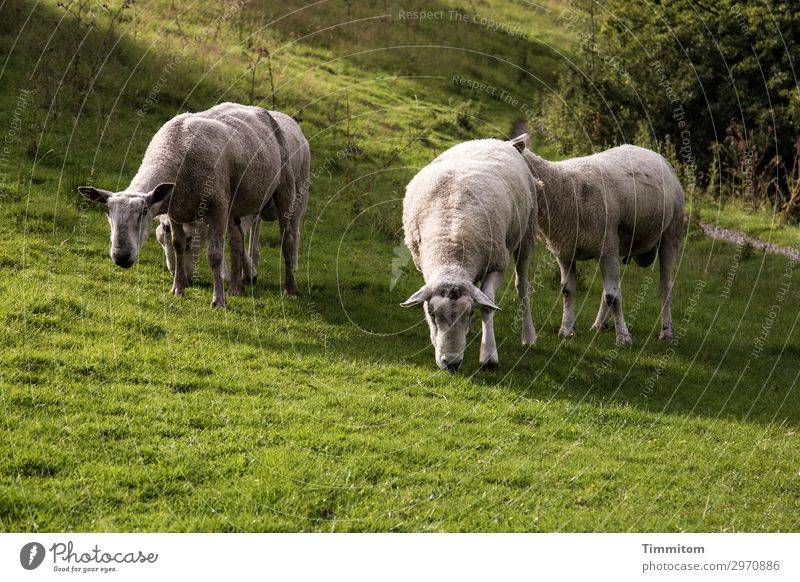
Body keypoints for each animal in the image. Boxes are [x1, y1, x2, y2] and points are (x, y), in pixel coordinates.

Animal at [78, 102, 310, 308]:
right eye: (107, 211)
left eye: (144, 211)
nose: (121, 257)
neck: (172, 152)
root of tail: (262, 111)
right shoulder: (175, 211)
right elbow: (178, 245)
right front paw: (178, 289)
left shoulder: (218, 206)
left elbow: (214, 254)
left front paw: (219, 301)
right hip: (236, 203)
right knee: (237, 241)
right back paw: (237, 287)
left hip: (288, 189)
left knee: (288, 237)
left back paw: (290, 289)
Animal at [400, 136, 544, 372]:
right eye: (432, 314)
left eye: (469, 312)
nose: (450, 363)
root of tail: (502, 142)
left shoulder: (497, 264)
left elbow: (488, 306)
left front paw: (489, 356)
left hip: (527, 233)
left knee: (522, 285)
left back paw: (529, 336)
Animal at [516, 132, 684, 346]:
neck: (561, 188)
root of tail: (653, 153)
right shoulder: (565, 252)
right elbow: (568, 291)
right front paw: (567, 329)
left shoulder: (607, 249)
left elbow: (613, 297)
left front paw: (624, 338)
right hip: (615, 243)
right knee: (608, 289)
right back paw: (598, 325)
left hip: (671, 232)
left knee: (665, 286)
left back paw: (666, 332)